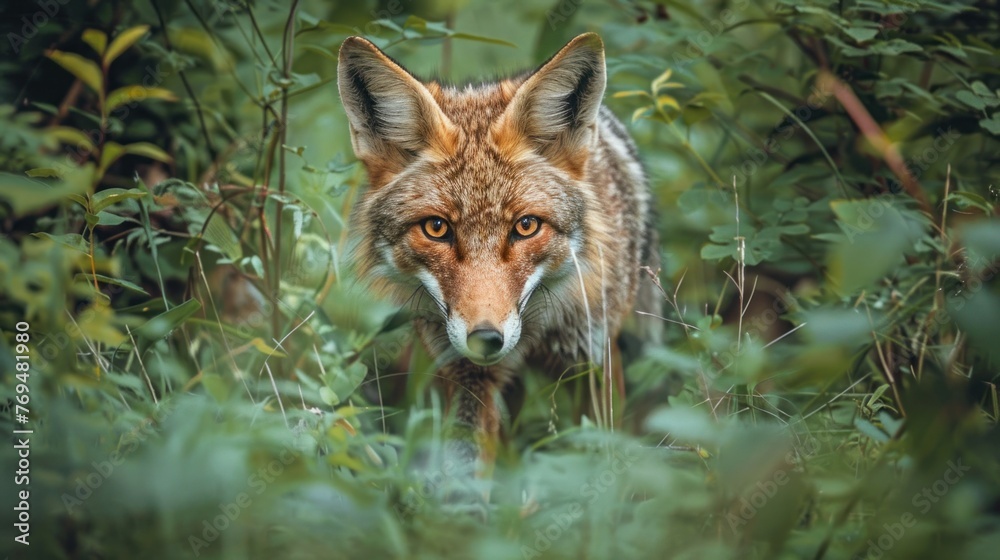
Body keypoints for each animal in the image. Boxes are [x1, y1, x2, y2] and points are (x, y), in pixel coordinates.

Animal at [338, 33, 659, 483]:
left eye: (526, 227)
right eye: (436, 228)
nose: (487, 338)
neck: (537, 330)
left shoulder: (593, 361)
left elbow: (598, 459)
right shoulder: (469, 378)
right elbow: (465, 477)